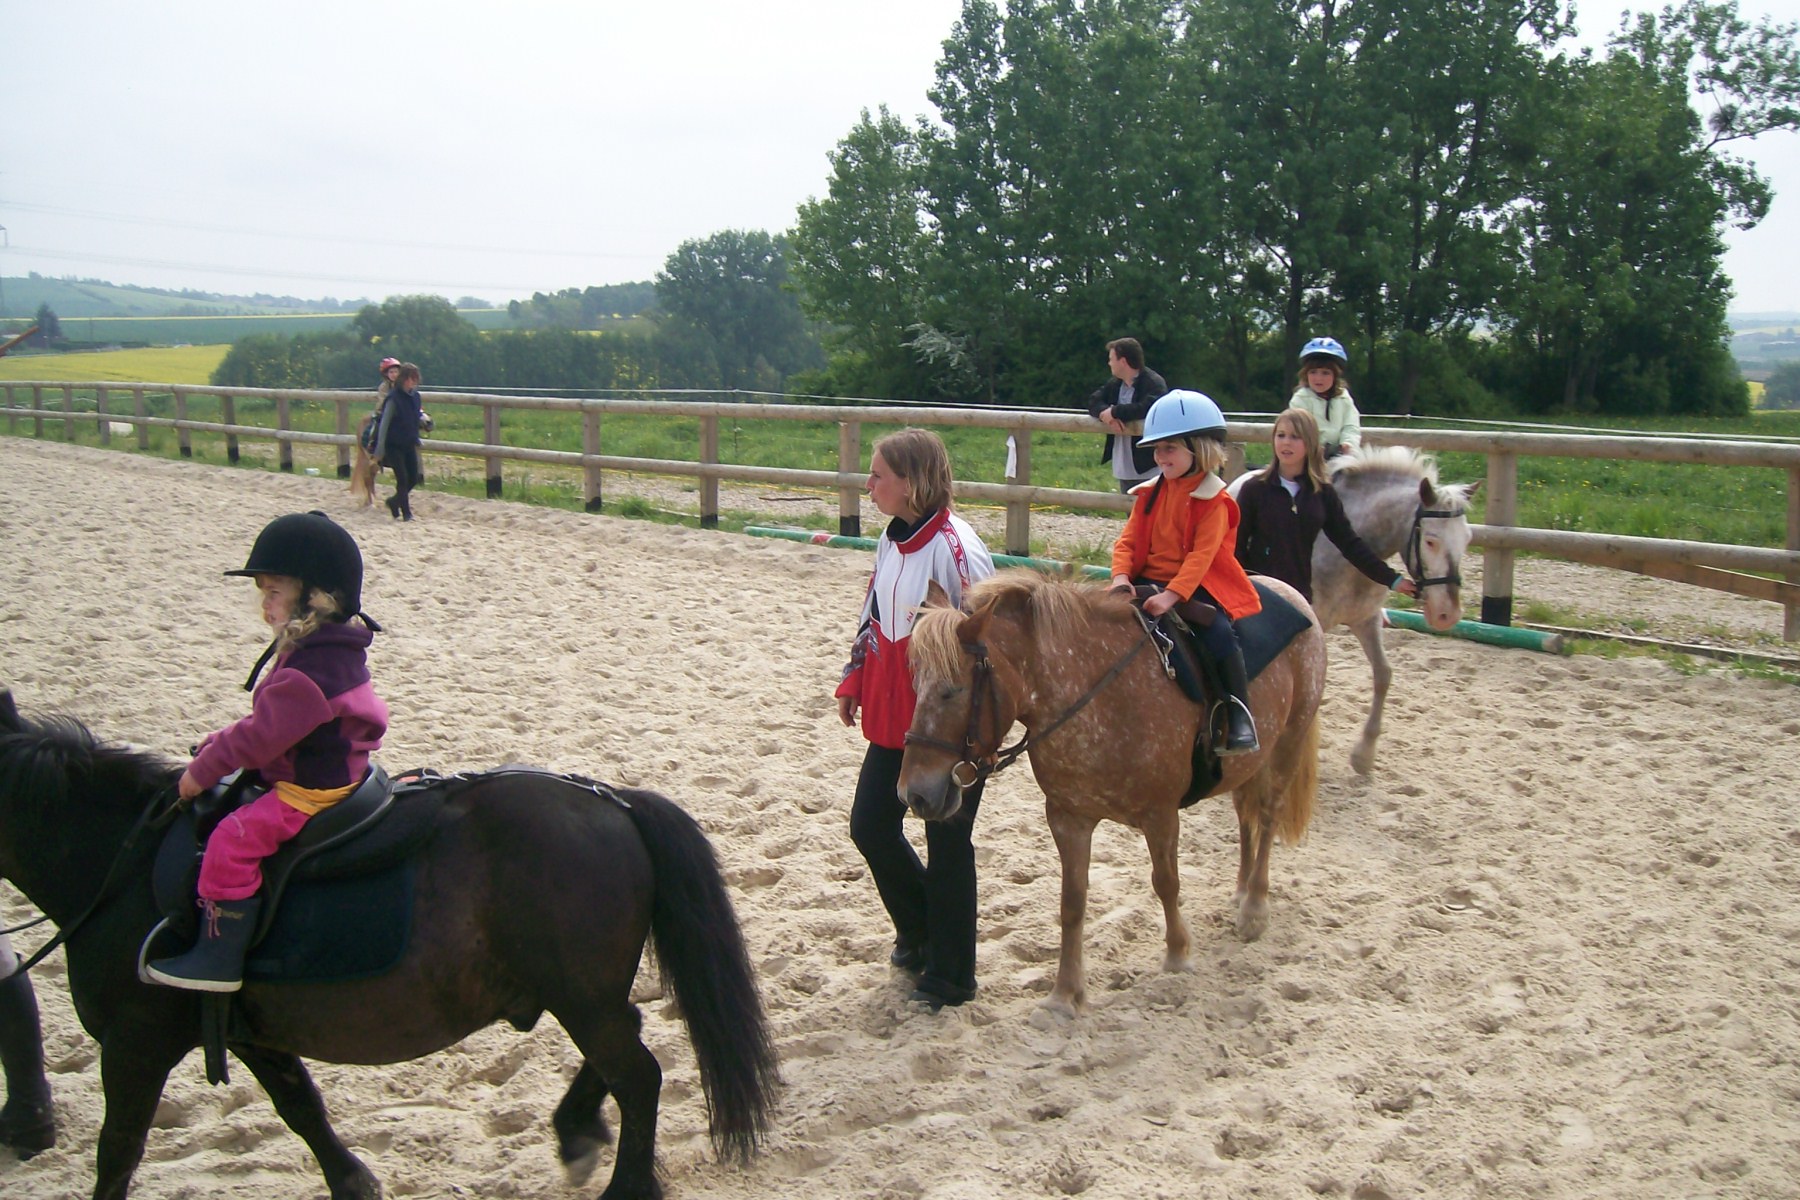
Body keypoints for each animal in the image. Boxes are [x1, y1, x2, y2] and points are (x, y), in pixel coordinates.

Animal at [0, 690, 770, 1200]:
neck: (121, 864)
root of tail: (614, 801)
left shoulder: (134, 1044)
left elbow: (118, 1152)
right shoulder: (252, 1034)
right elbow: (302, 1109)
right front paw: (353, 1182)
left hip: (580, 997)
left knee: (637, 1075)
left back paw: (622, 1185)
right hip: (583, 995)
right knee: (626, 1047)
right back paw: (576, 1130)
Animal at [896, 572, 1324, 1014]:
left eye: (952, 691)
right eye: (915, 683)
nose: (915, 794)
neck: (1096, 694)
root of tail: (1290, 592)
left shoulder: (1160, 815)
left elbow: (1166, 882)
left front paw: (1178, 955)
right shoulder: (1068, 817)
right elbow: (1072, 902)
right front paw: (1064, 994)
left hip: (1289, 741)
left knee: (1269, 815)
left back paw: (1255, 906)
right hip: (1248, 766)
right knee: (1245, 814)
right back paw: (1241, 891)